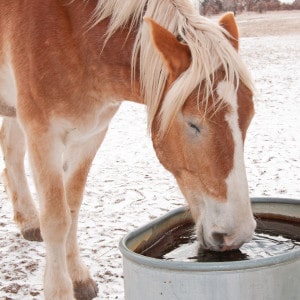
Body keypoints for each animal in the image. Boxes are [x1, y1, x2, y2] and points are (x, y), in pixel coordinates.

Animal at [0, 0, 255, 298]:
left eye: (249, 117)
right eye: (193, 123)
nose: (237, 234)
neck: (76, 34)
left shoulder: (91, 135)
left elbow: (72, 209)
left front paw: (78, 278)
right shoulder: (43, 136)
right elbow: (56, 219)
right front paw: (59, 290)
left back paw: (28, 221)